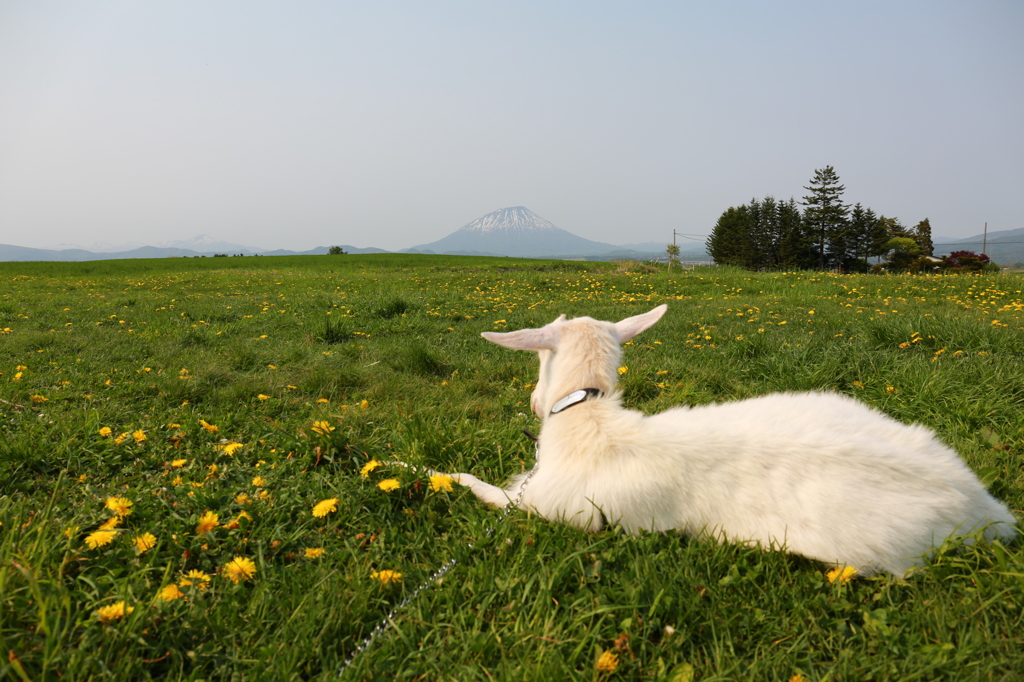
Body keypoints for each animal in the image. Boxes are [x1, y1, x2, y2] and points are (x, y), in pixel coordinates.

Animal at [452, 303, 1019, 573]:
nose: (532, 403)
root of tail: (987, 511)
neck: (587, 417)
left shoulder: (544, 507)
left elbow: (482, 489)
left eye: (538, 359)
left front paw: (437, 473)